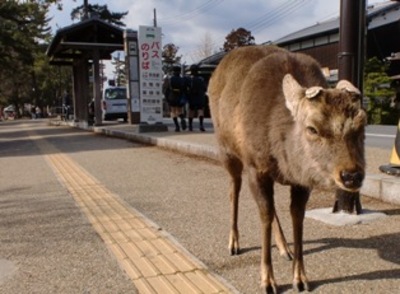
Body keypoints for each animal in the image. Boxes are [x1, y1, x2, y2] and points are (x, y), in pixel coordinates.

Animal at [208, 44, 368, 292]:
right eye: (312, 128)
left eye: (363, 124)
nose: (352, 175)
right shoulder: (255, 167)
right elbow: (264, 215)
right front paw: (267, 280)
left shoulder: (303, 180)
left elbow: (296, 215)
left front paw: (301, 278)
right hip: (227, 150)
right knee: (234, 190)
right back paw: (234, 242)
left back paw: (285, 248)